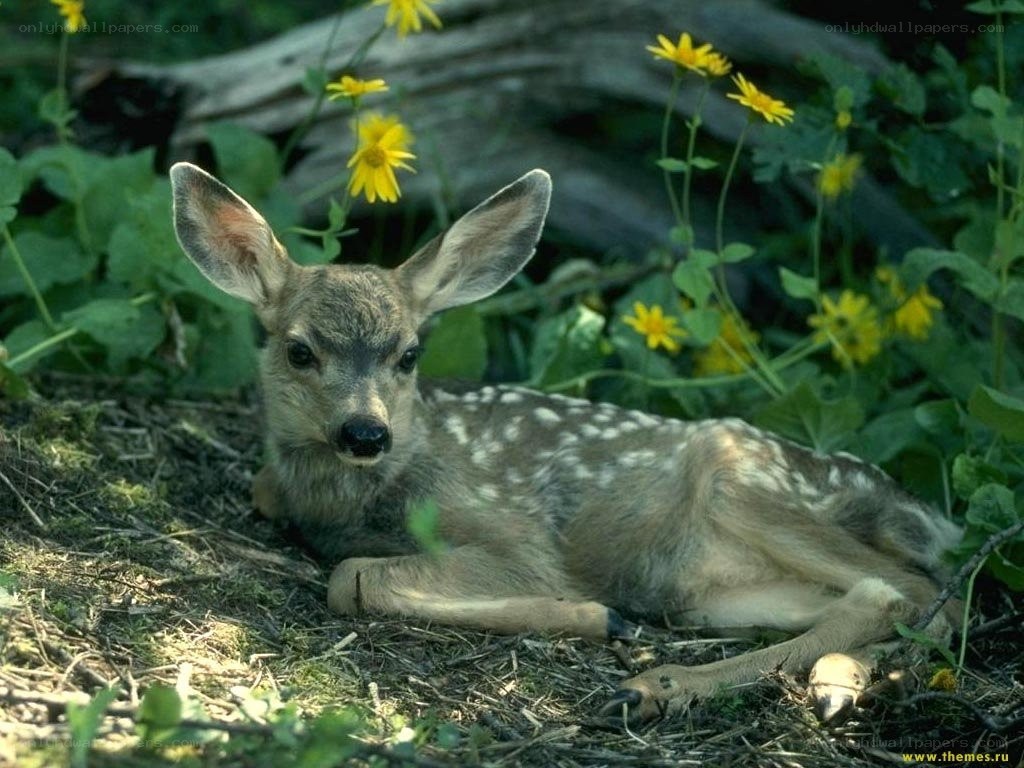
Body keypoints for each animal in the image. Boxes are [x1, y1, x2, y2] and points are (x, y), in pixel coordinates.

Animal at [169, 162, 963, 724]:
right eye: (299, 351)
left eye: (409, 354)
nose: (365, 432)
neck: (357, 499)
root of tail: (920, 513)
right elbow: (287, 512)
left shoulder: (516, 538)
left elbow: (352, 578)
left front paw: (592, 614)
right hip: (711, 595)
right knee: (911, 601)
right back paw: (830, 684)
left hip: (741, 476)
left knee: (903, 588)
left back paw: (657, 684)